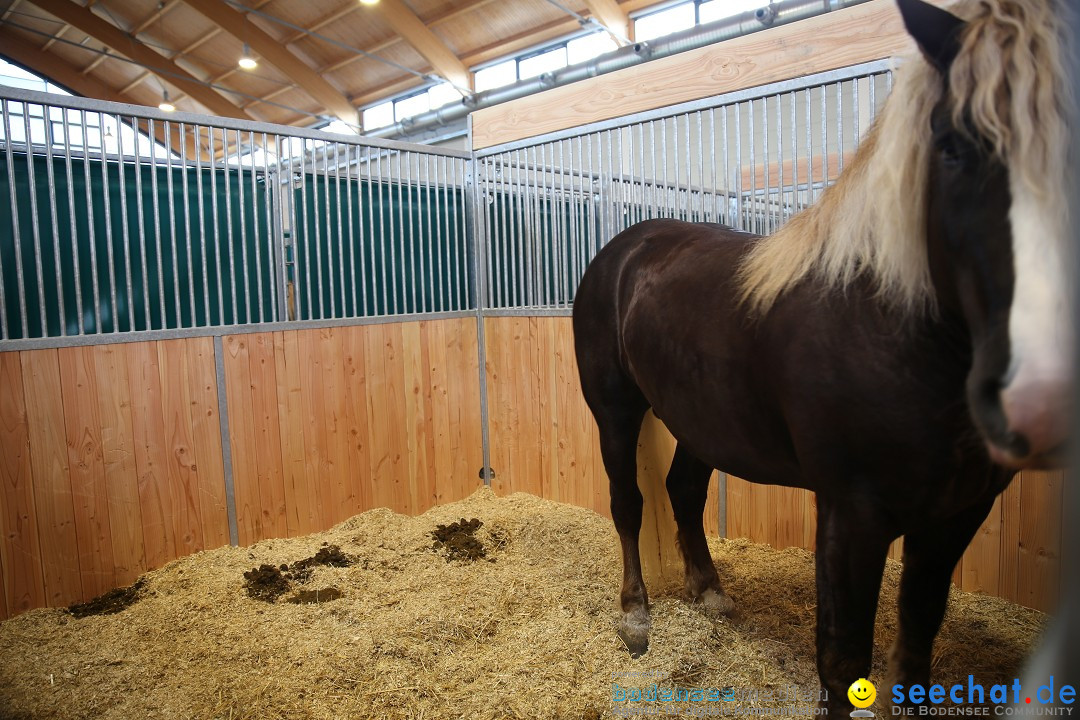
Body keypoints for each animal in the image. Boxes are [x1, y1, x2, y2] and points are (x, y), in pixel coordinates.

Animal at [574, 0, 1071, 712]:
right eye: (951, 147)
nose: (1040, 395)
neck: (889, 329)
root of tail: (626, 247)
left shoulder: (956, 515)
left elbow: (916, 647)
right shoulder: (850, 515)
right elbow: (842, 661)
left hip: (701, 421)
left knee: (684, 491)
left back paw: (711, 592)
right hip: (614, 409)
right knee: (627, 502)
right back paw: (636, 616)